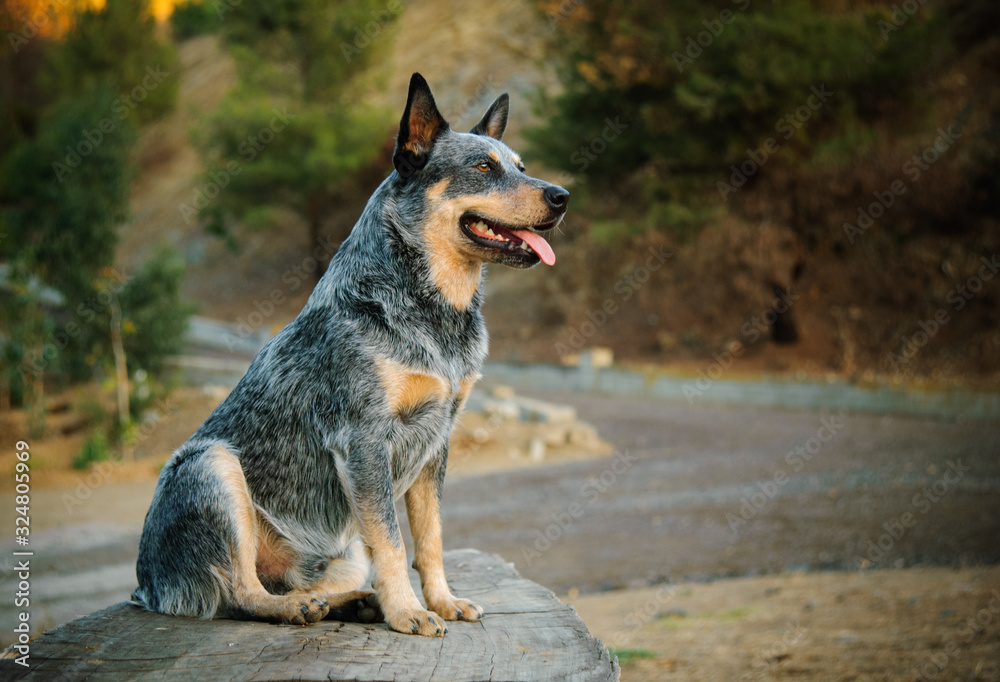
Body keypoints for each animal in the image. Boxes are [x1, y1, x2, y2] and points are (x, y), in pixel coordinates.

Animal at [131, 71, 572, 636]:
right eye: (483, 167)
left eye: (521, 166)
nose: (563, 195)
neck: (433, 308)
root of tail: (146, 587)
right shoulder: (362, 440)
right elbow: (392, 541)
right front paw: (408, 613)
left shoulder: (437, 440)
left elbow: (430, 538)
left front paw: (442, 601)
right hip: (211, 466)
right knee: (239, 592)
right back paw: (298, 608)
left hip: (341, 553)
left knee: (309, 582)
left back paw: (353, 603)